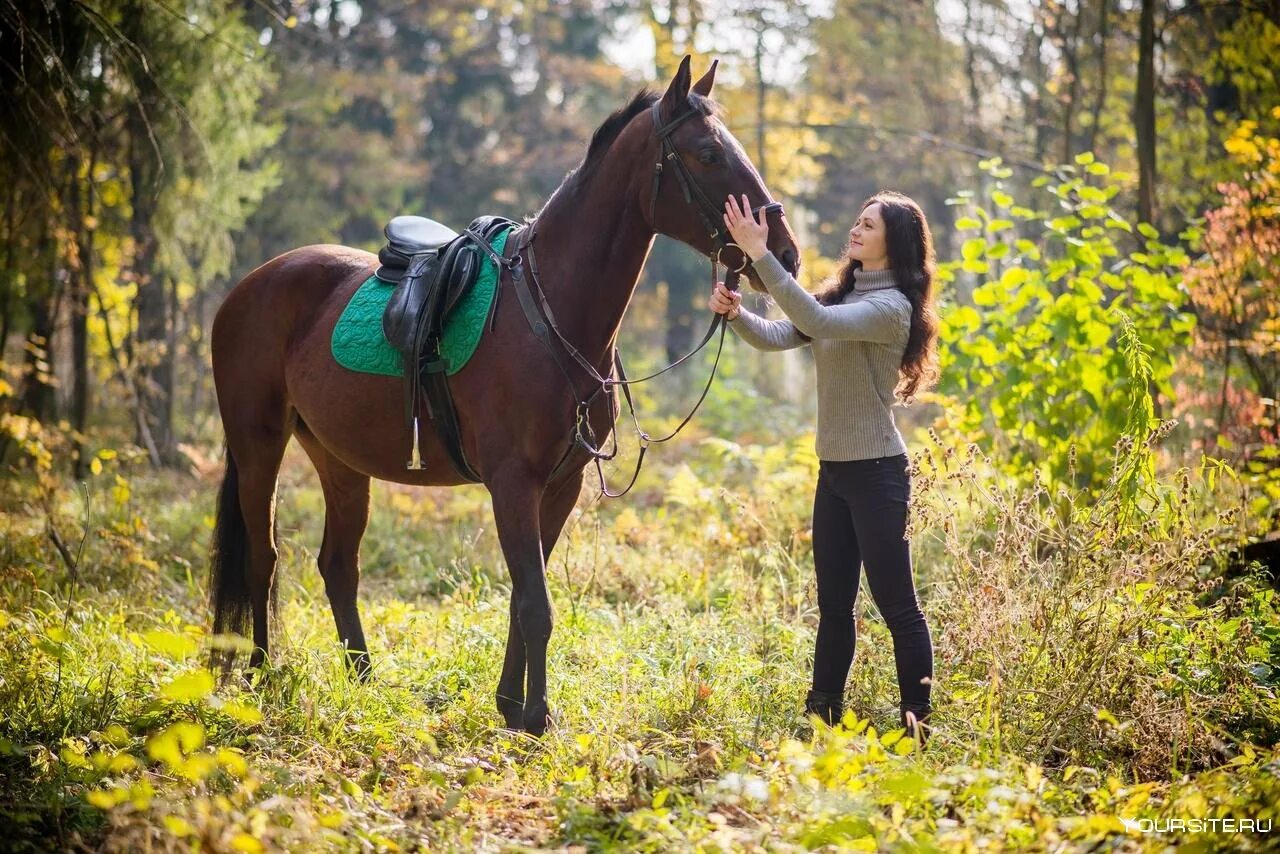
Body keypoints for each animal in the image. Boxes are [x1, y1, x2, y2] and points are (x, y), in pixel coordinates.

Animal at [209, 55, 798, 737]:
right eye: (707, 153)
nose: (785, 253)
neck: (549, 315)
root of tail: (250, 285)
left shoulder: (560, 484)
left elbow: (523, 597)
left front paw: (512, 707)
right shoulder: (514, 482)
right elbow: (536, 602)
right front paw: (536, 717)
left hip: (339, 459)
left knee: (337, 565)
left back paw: (363, 681)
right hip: (258, 444)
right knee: (264, 557)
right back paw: (260, 674)